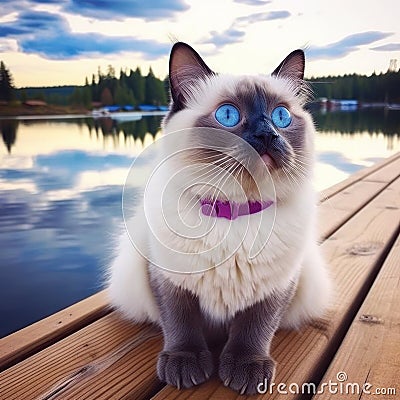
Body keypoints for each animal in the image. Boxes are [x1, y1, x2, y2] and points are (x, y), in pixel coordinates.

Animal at [106, 42, 332, 396]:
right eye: (228, 115)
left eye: (281, 117)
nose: (267, 135)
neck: (234, 212)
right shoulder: (168, 280)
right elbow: (180, 325)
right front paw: (184, 363)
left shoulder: (276, 287)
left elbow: (254, 331)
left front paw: (246, 369)